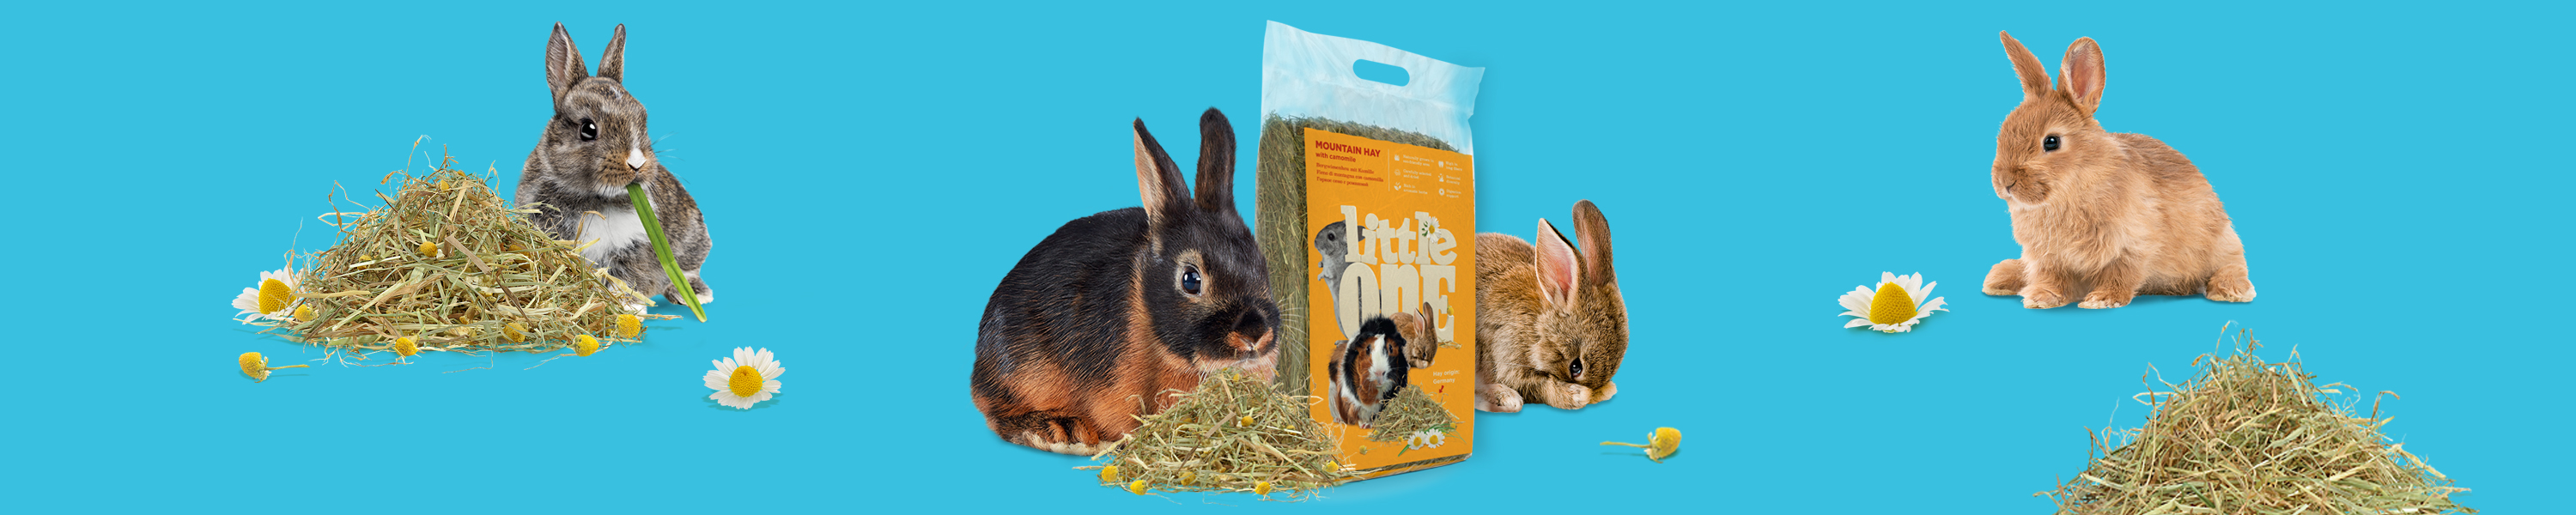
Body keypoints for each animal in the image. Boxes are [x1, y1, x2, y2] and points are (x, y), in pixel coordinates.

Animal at [515, 23, 713, 310]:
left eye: (643, 119)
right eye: (588, 129)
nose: (637, 163)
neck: (593, 200)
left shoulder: (634, 250)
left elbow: (626, 279)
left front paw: (629, 309)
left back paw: (695, 295)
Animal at [1327, 315, 1412, 427]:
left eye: (1391, 348)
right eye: (1367, 349)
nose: (1379, 373)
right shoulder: (1353, 402)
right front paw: (1365, 425)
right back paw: (1339, 420)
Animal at [1475, 200, 1627, 413]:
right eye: (1576, 367)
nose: (1595, 391)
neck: (1538, 325)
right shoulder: (1507, 350)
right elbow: (1536, 386)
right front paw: (1577, 395)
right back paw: (1504, 398)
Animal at [1981, 31, 2254, 309]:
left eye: (2052, 142)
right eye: (2004, 132)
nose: (2004, 182)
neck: (2074, 185)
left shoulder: (2132, 245)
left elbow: (2121, 274)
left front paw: (2102, 299)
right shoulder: (2049, 258)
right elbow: (2053, 279)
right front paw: (2041, 297)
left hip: (2220, 242)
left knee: (2231, 265)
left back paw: (2230, 291)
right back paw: (1999, 278)